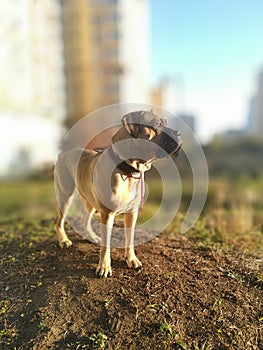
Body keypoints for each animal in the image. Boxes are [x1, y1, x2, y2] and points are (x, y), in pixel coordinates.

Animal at [53, 110, 182, 278]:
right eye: (158, 124)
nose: (179, 133)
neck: (127, 169)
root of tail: (63, 154)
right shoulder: (107, 214)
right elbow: (106, 245)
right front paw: (104, 267)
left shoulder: (132, 213)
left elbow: (129, 239)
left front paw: (131, 259)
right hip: (65, 196)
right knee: (59, 221)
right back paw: (64, 240)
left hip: (89, 200)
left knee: (85, 220)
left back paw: (92, 237)